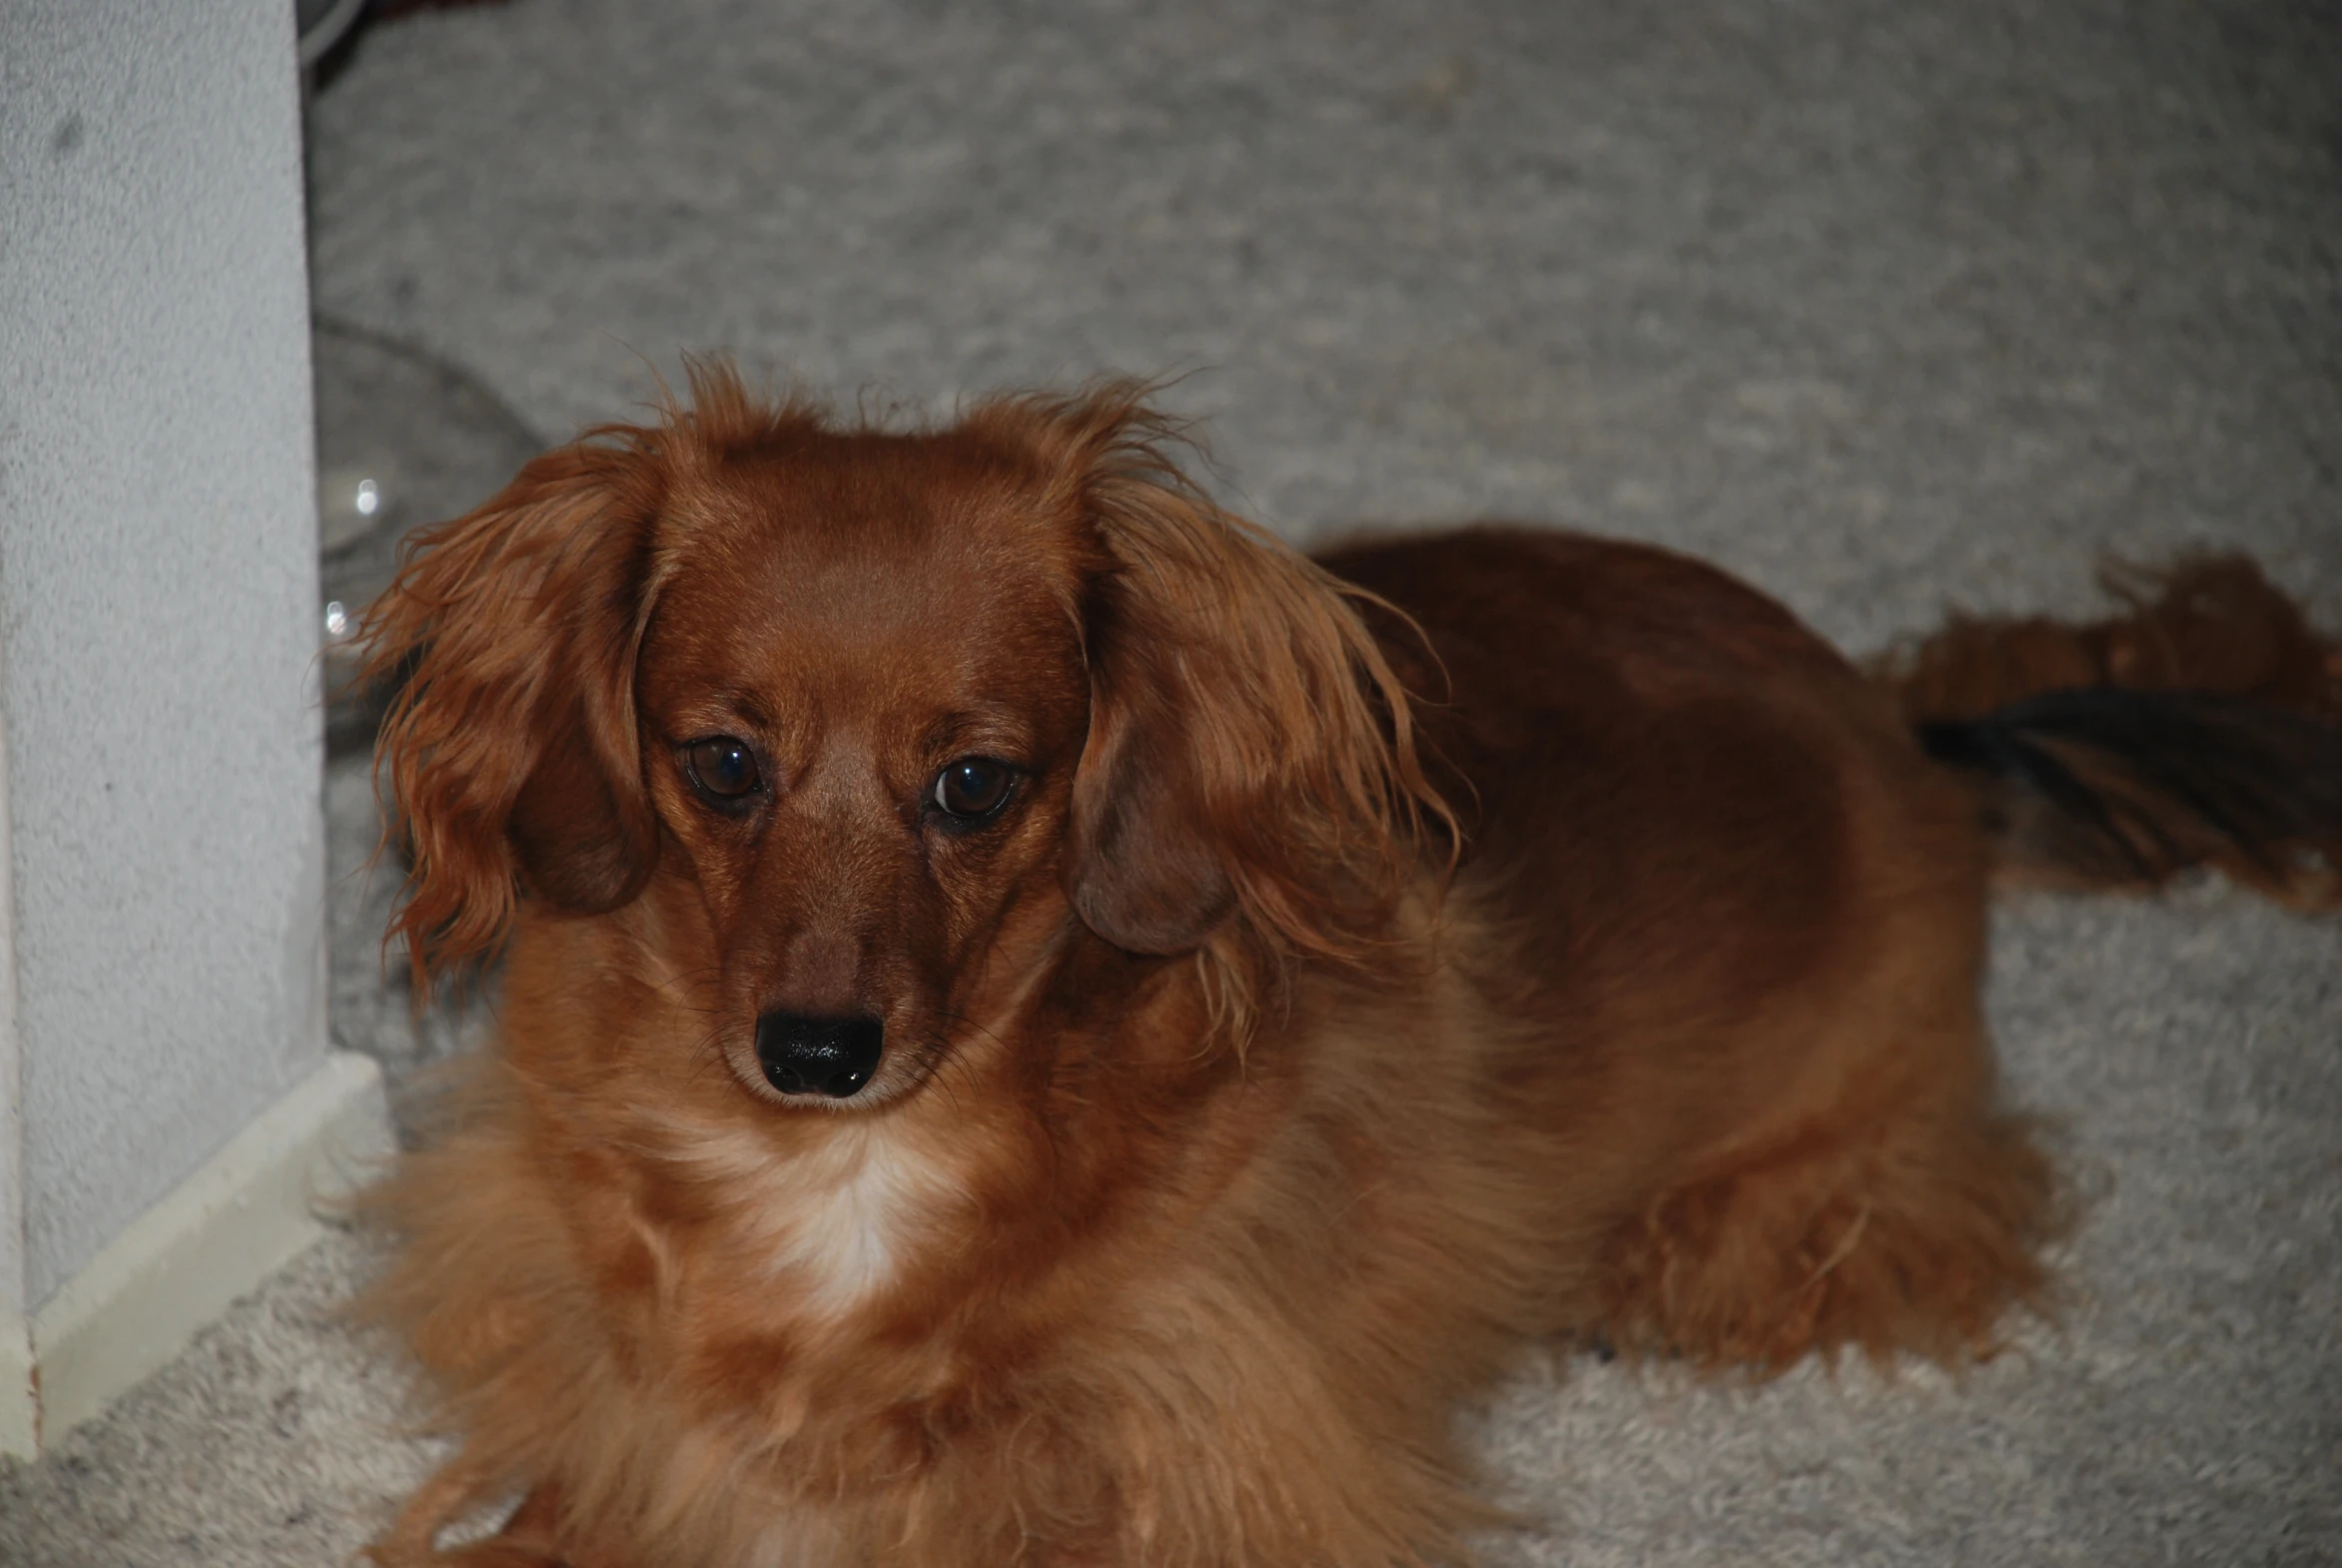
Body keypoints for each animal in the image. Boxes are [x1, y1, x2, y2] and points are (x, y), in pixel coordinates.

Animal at [351, 370, 2342, 1568]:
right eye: (721, 763)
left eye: (976, 782)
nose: (816, 1051)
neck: (854, 1176)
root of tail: (1920, 741)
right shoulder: (635, 1397)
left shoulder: (1184, 1442)